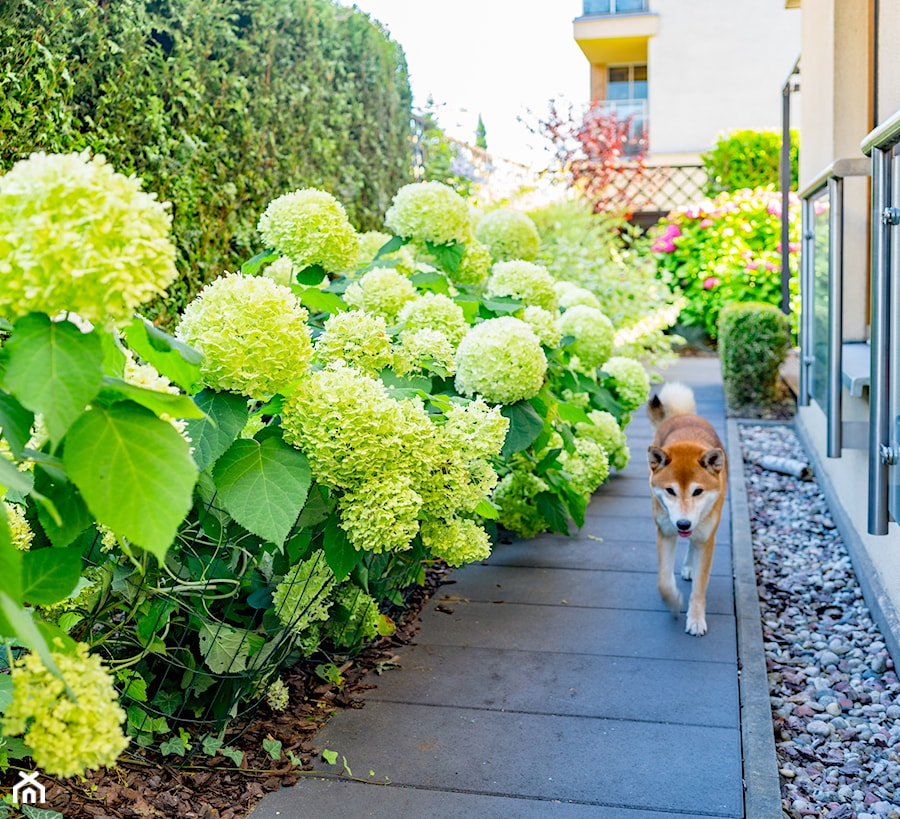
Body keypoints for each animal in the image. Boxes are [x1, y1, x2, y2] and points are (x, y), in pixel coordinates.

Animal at [644, 382, 728, 636]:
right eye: (670, 491)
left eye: (698, 491)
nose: (683, 523)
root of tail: (682, 415)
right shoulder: (665, 533)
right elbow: (663, 582)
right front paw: (673, 601)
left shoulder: (707, 539)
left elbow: (699, 590)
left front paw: (696, 620)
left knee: (693, 543)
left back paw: (690, 566)